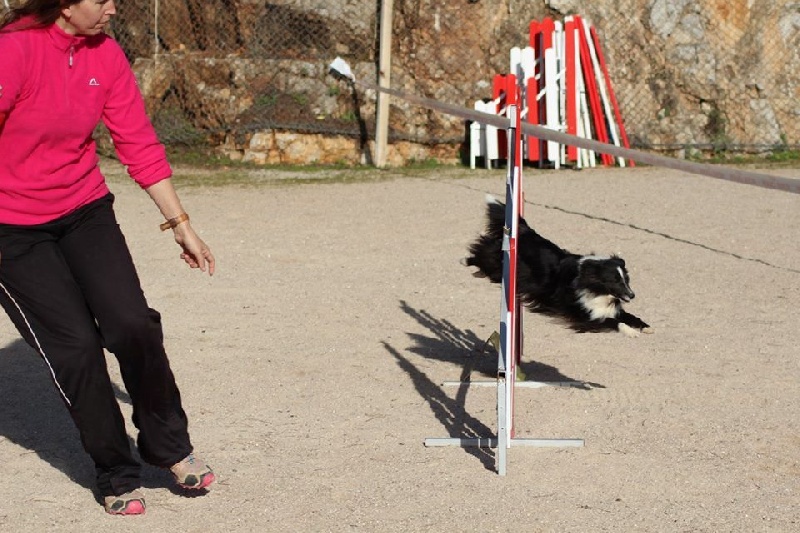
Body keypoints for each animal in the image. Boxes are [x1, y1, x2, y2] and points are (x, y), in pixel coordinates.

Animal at [466, 195, 652, 336]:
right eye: (615, 281)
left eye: (626, 280)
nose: (632, 295)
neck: (594, 287)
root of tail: (526, 231)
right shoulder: (583, 315)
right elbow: (614, 322)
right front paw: (632, 332)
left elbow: (629, 316)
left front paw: (645, 327)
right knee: (483, 249)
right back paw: (469, 263)